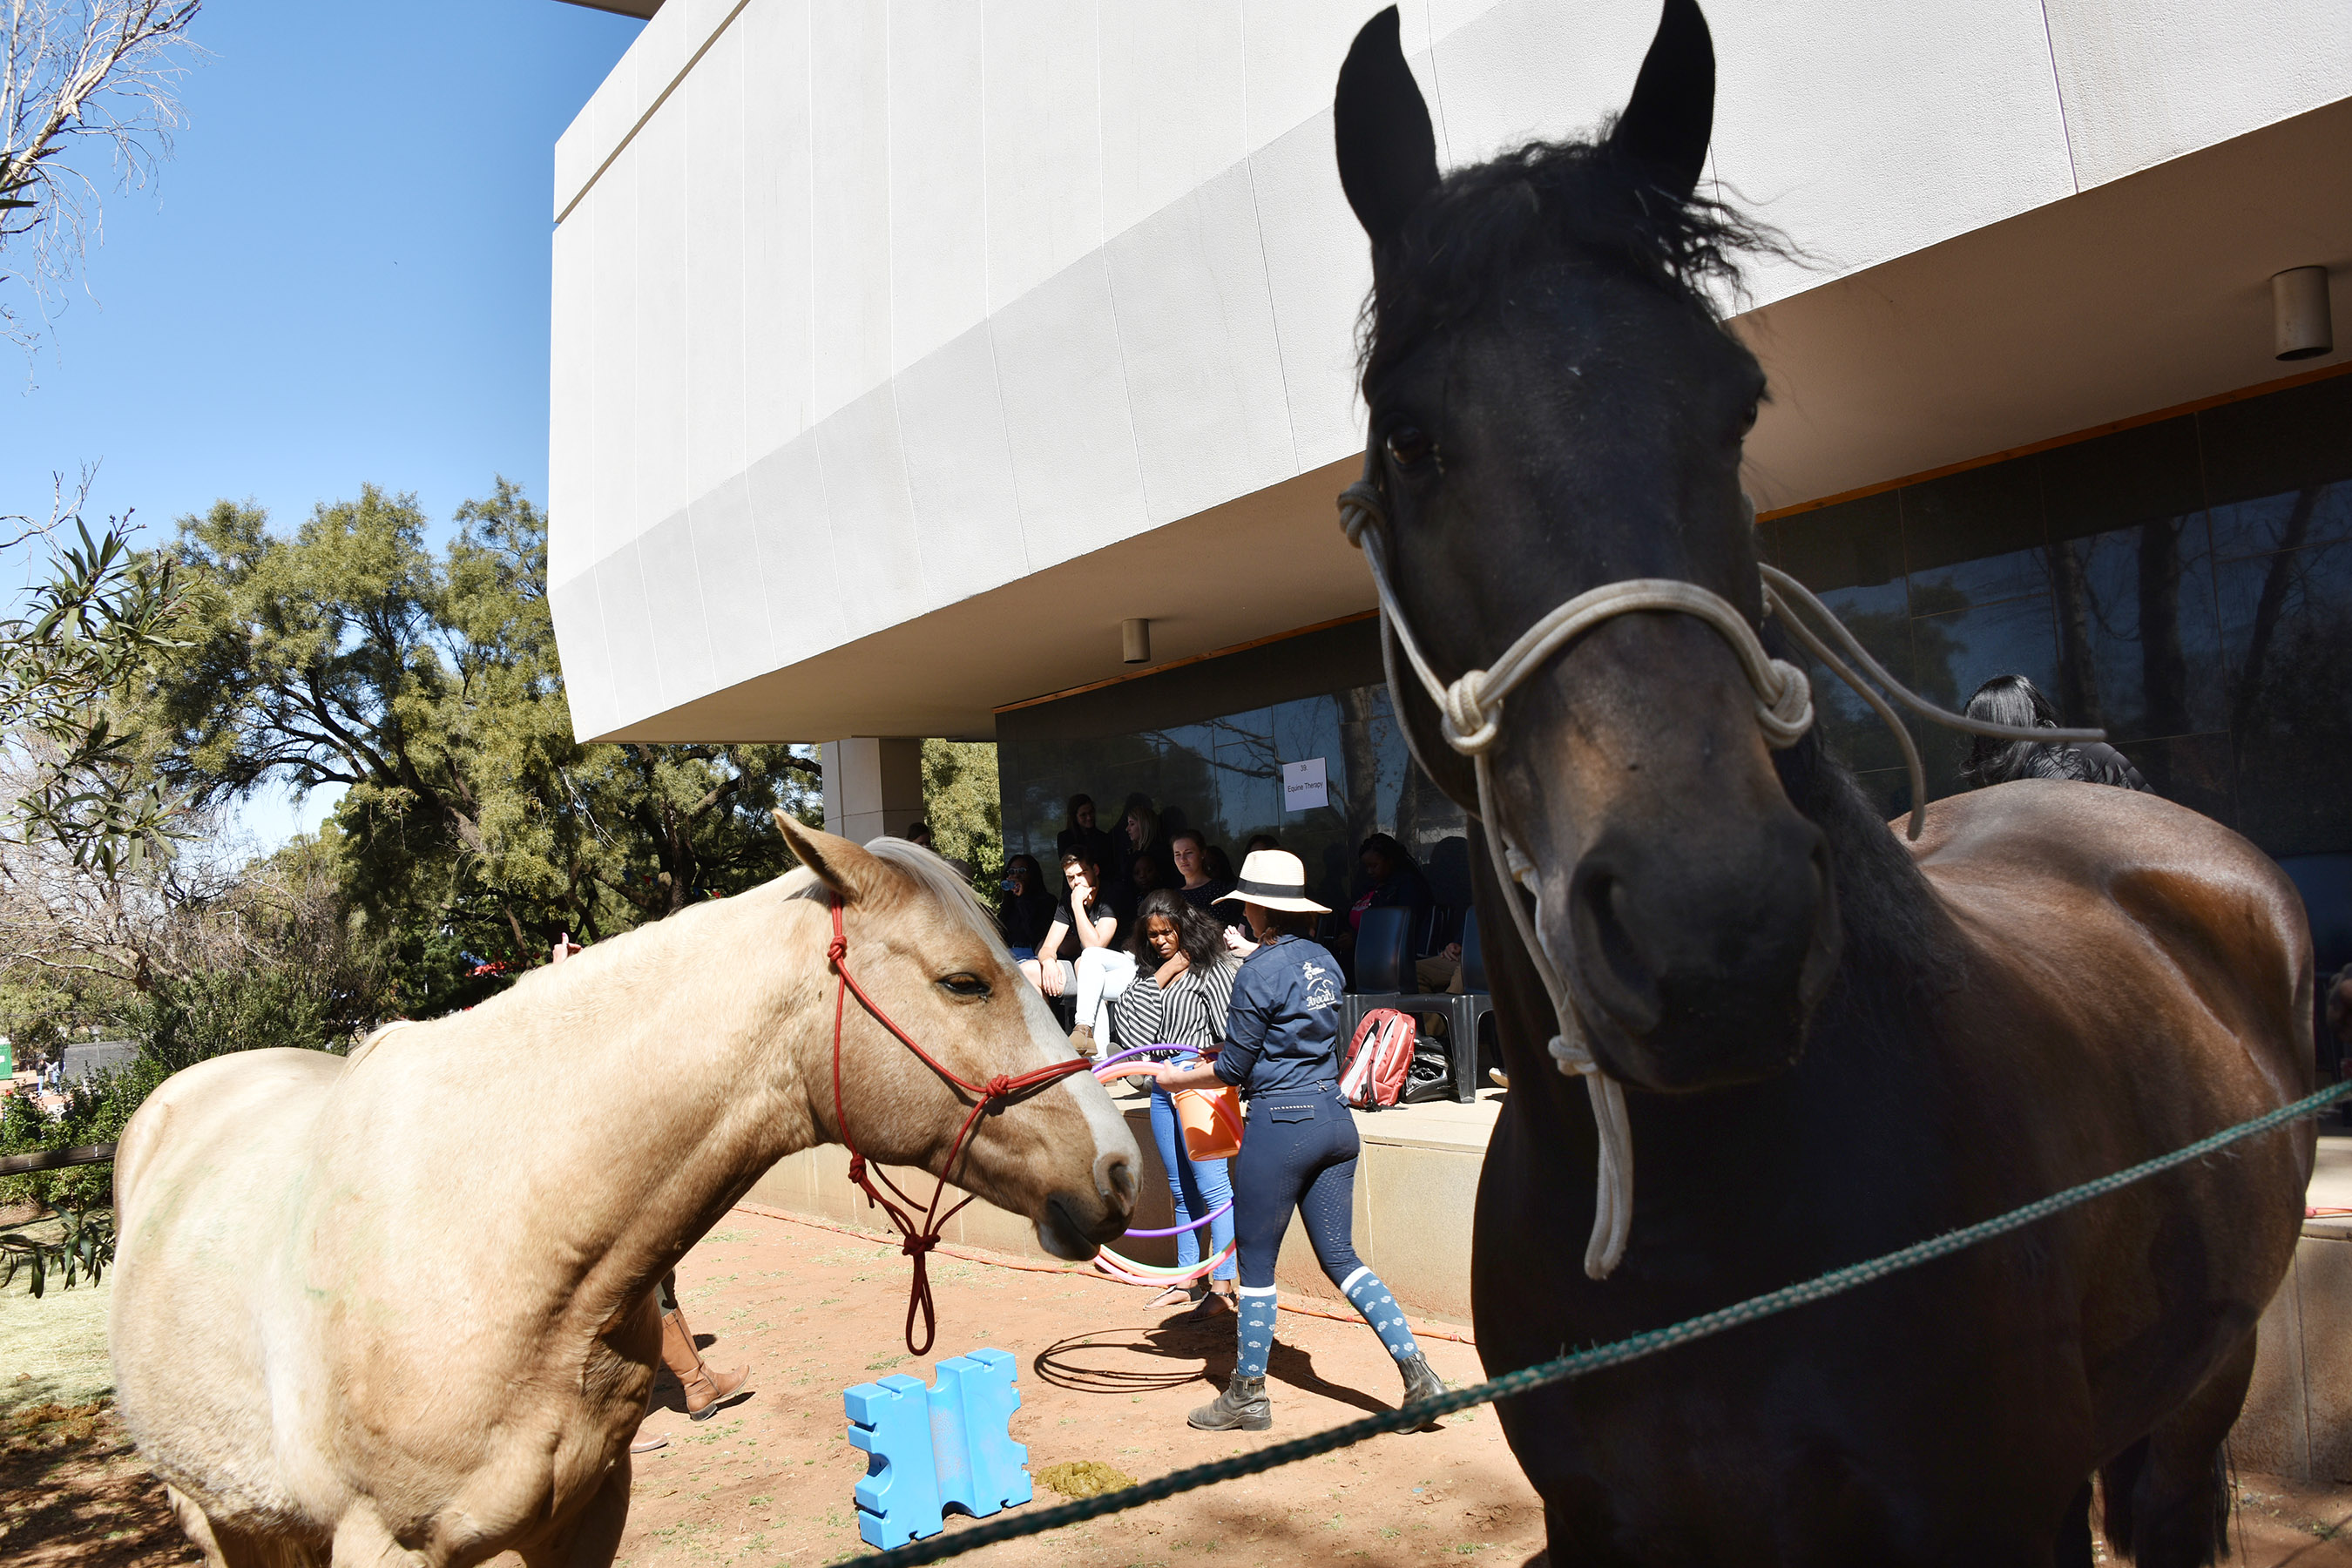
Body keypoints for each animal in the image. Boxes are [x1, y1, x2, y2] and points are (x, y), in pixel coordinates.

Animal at [109, 816, 1139, 1568]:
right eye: (963, 982)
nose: (1121, 1168)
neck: (500, 1238)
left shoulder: (587, 1517)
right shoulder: (380, 1544)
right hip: (220, 1516)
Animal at [1331, 6, 2313, 1564]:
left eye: (1735, 407)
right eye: (1411, 435)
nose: (1713, 932)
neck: (1711, 1244)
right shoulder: (1599, 1528)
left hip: (2199, 1395)